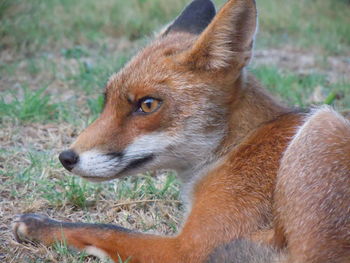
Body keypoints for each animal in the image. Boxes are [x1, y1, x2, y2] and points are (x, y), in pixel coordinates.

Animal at [11, 0, 350, 263]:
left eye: (147, 105)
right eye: (106, 100)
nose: (66, 158)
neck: (236, 146)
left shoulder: (187, 249)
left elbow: (107, 229)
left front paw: (40, 226)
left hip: (323, 122)